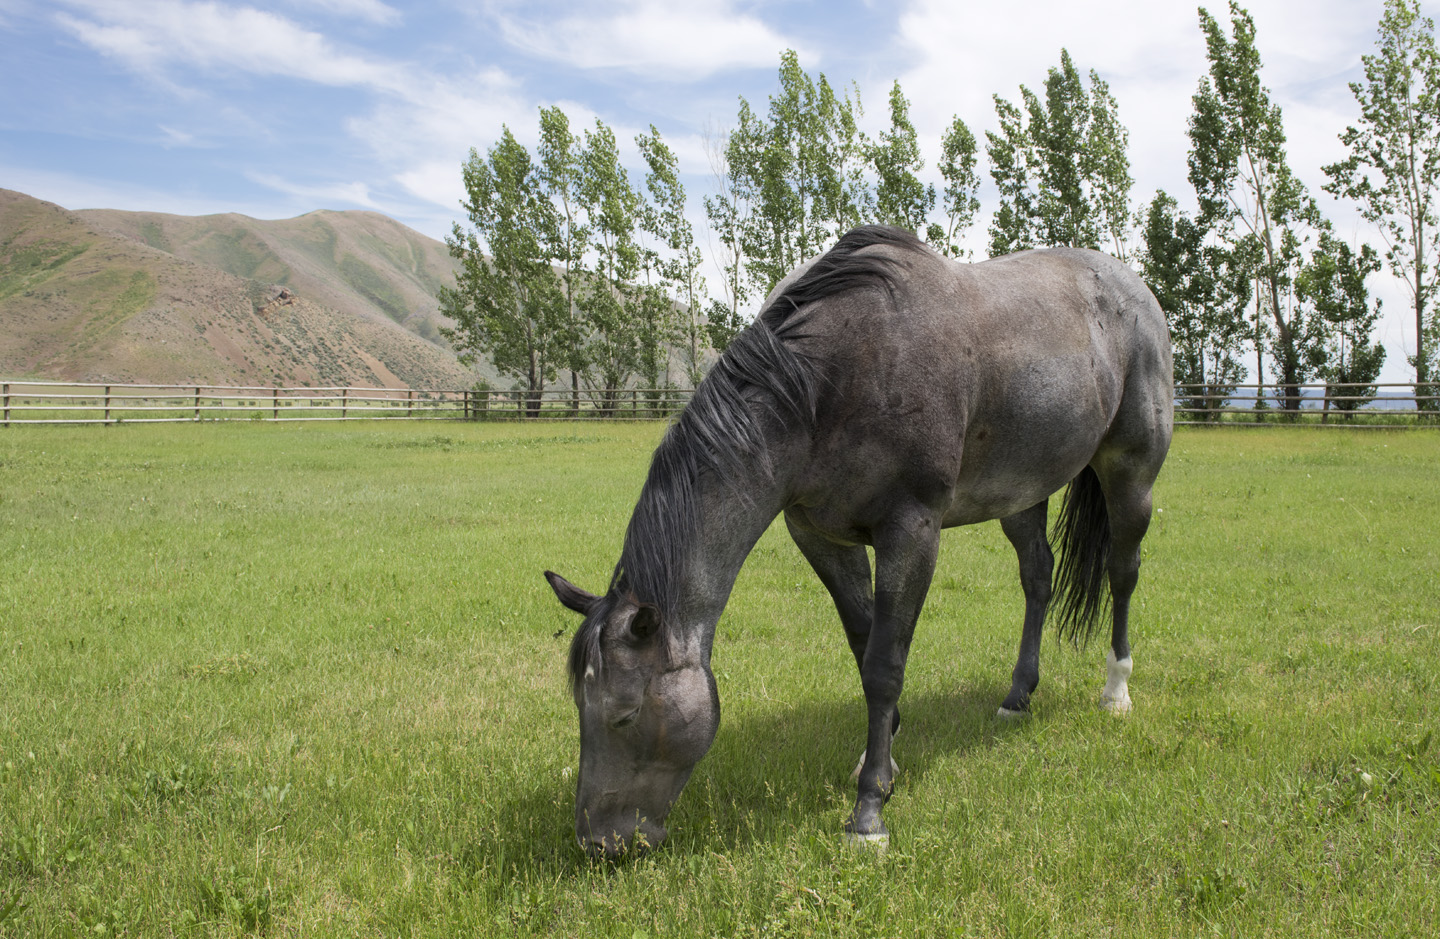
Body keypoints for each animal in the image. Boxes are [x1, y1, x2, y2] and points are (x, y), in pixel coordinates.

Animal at [546, 225, 1173, 858]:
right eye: (579, 708)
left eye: (625, 716)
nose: (597, 843)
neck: (828, 381)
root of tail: (1135, 290)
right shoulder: (820, 537)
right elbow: (862, 641)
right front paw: (883, 758)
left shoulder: (911, 534)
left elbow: (884, 665)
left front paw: (869, 809)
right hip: (1021, 494)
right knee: (1038, 579)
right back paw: (1018, 697)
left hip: (1131, 475)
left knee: (1123, 572)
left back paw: (1116, 690)